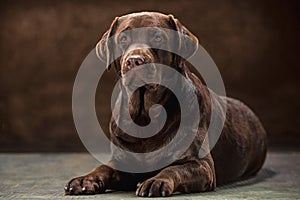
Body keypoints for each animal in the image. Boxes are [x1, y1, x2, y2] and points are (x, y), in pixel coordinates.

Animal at [63, 12, 268, 197]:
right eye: (123, 38)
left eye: (157, 37)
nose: (134, 60)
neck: (145, 117)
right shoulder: (124, 161)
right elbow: (104, 167)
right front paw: (84, 180)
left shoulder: (202, 165)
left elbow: (174, 169)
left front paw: (156, 181)